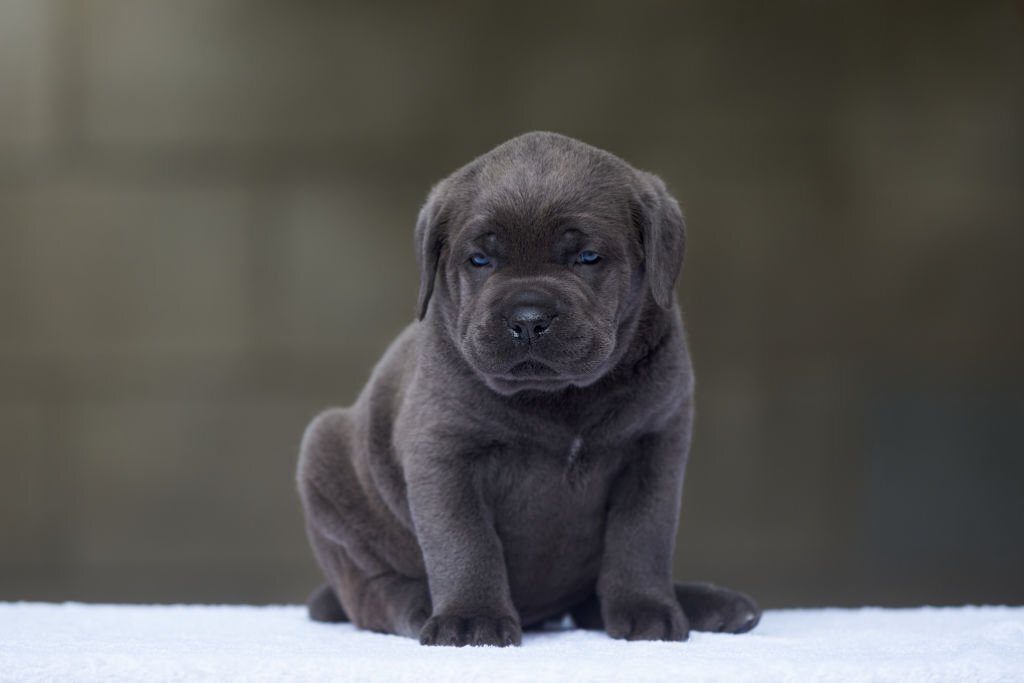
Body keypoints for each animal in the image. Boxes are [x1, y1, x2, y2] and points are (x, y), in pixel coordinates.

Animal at [296, 129, 761, 647]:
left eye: (587, 257)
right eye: (479, 260)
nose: (528, 318)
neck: (559, 397)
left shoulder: (655, 446)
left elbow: (642, 536)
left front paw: (647, 610)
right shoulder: (444, 451)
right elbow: (465, 541)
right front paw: (471, 618)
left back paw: (710, 604)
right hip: (326, 466)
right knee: (372, 590)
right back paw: (417, 603)